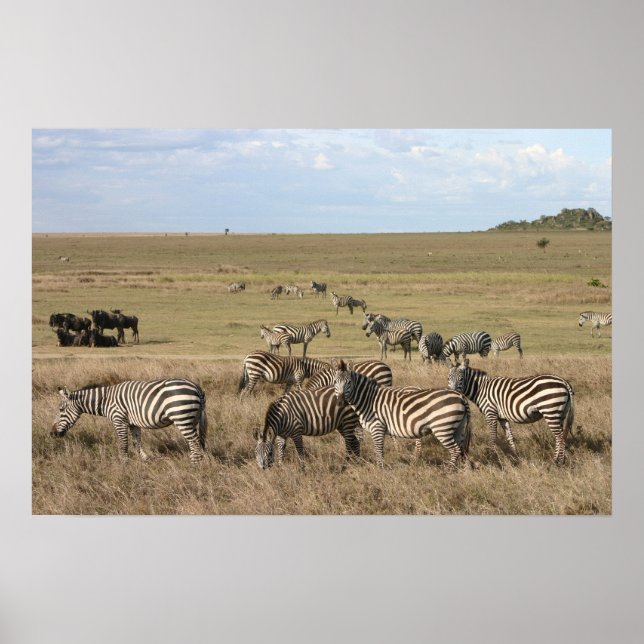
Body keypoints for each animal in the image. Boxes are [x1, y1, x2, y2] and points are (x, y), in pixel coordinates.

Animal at [51, 379, 208, 462]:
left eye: (61, 410)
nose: (52, 434)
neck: (105, 401)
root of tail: (196, 387)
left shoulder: (119, 419)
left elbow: (123, 444)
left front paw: (123, 463)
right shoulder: (133, 423)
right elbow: (136, 442)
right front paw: (144, 460)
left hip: (182, 417)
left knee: (194, 441)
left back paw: (194, 463)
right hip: (192, 418)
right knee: (196, 441)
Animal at [332, 359, 471, 468]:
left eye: (349, 383)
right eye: (335, 382)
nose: (340, 402)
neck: (369, 399)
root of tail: (460, 396)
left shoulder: (377, 427)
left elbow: (379, 451)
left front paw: (380, 470)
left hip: (442, 428)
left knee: (455, 450)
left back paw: (448, 470)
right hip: (457, 428)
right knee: (461, 449)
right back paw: (459, 470)